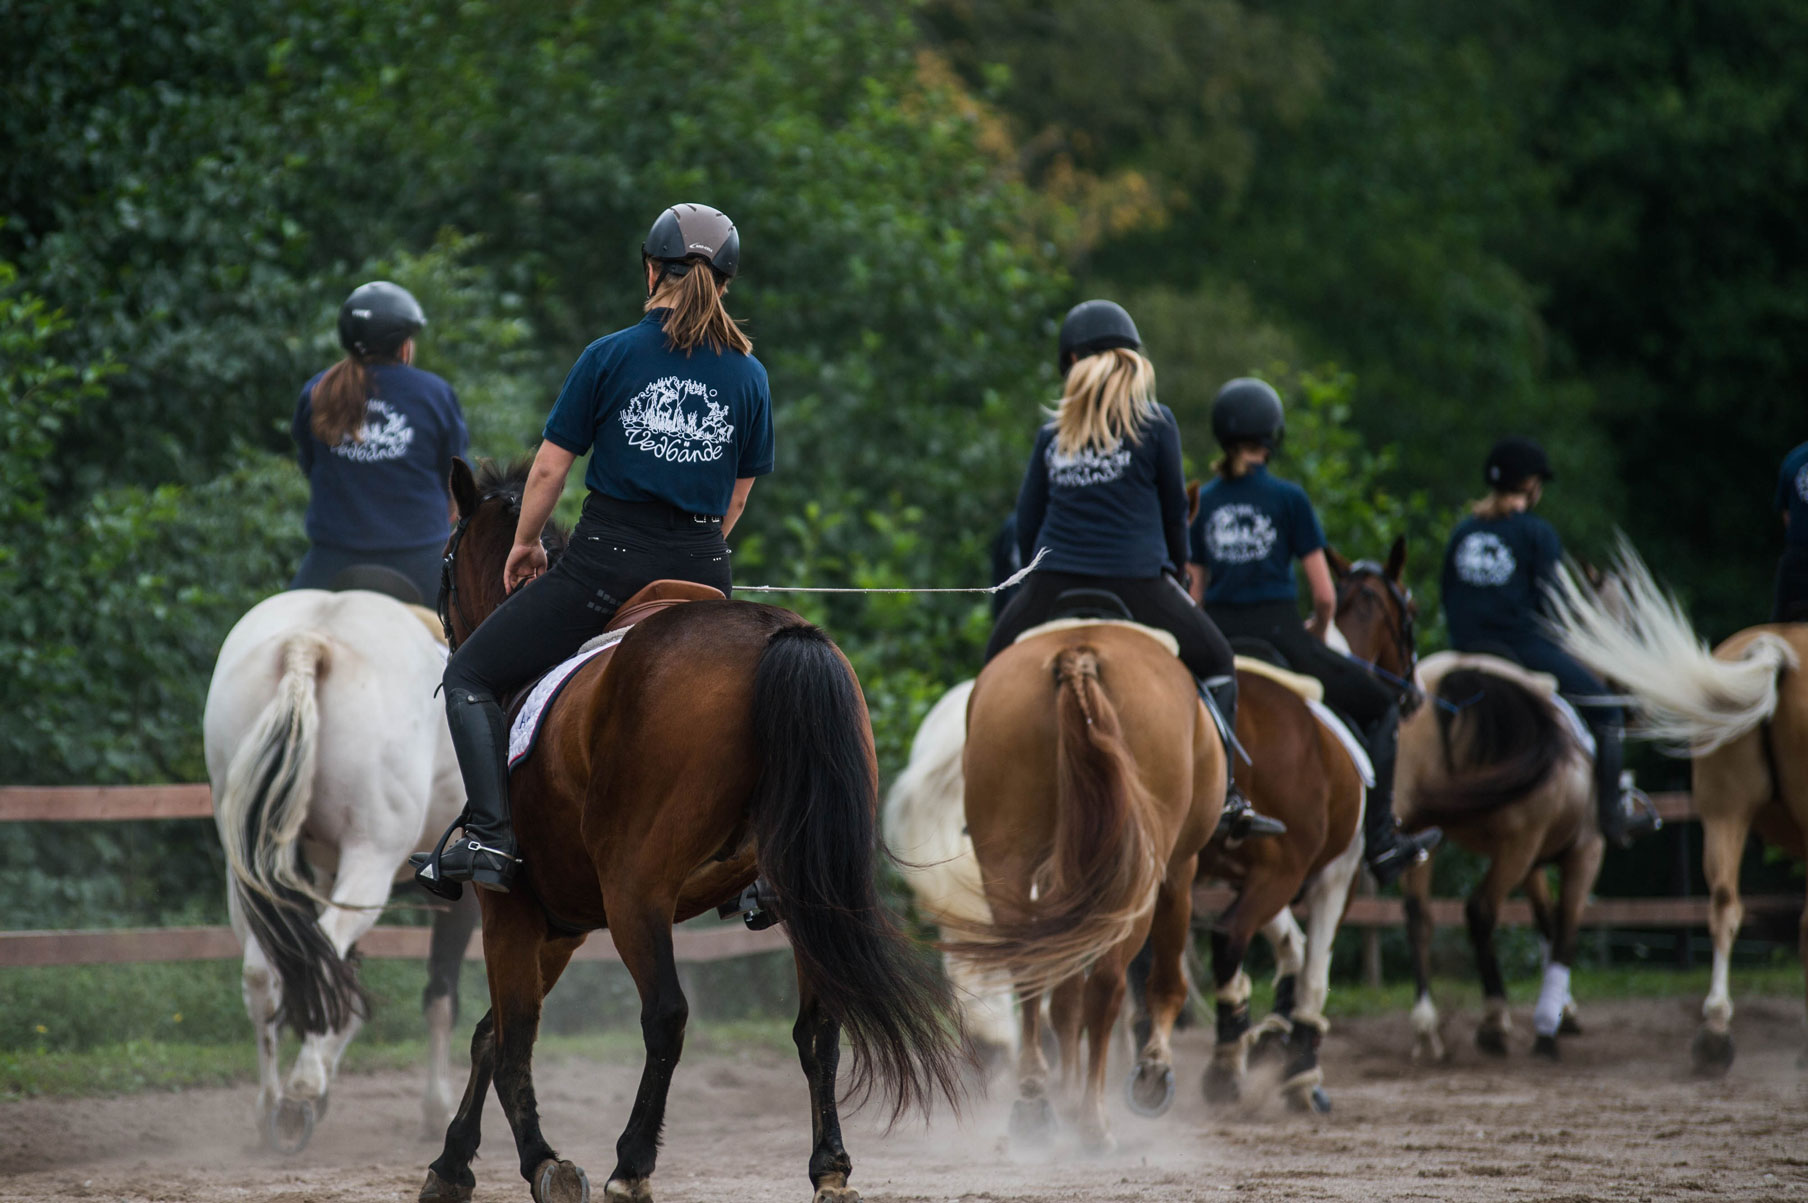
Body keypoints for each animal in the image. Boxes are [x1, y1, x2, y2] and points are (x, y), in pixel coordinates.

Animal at [203, 586, 480, 1150]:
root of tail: (311, 640)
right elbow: (440, 996)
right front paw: (437, 1108)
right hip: (369, 858)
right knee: (323, 953)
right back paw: (301, 1093)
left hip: (247, 864)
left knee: (266, 968)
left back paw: (272, 1102)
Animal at [417, 457, 969, 1201]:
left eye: (446, 564)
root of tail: (776, 637)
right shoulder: (560, 925)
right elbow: (490, 1035)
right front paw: (453, 1162)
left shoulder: (513, 909)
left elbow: (511, 1038)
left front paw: (539, 1160)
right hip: (803, 890)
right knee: (820, 1025)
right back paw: (828, 1164)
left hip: (636, 892)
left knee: (667, 1015)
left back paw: (632, 1164)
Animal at [940, 618, 1222, 1157]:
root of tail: (1078, 653)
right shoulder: (1179, 870)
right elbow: (1162, 981)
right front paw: (1151, 1070)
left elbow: (1064, 993)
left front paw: (1065, 1092)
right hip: (1136, 881)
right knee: (1108, 984)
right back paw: (1094, 1119)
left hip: (1009, 863)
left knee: (1032, 970)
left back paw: (1036, 1102)